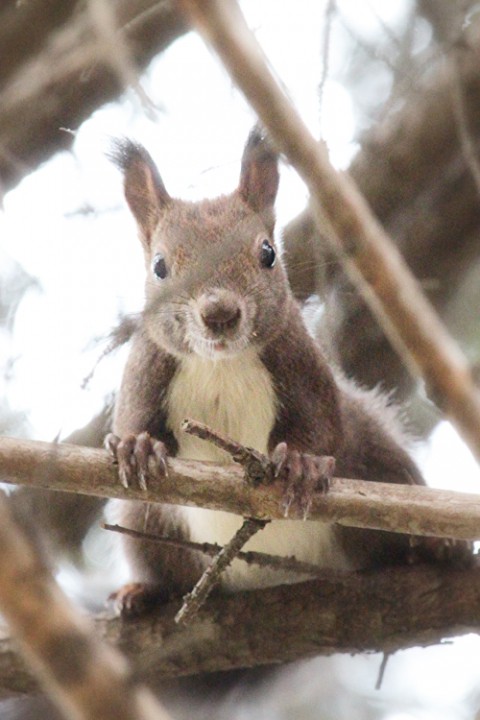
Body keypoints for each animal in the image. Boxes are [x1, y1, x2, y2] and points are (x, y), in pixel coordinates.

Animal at [107, 126, 470, 616]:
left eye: (267, 253)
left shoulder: (299, 360)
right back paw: (143, 593)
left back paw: (438, 546)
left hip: (379, 456)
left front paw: (301, 464)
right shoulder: (147, 366)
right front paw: (139, 447)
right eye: (159, 266)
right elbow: (132, 418)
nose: (219, 313)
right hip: (146, 527)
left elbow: (322, 423)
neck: (221, 365)